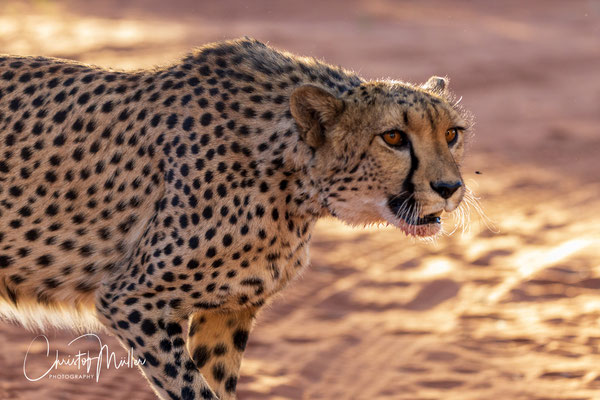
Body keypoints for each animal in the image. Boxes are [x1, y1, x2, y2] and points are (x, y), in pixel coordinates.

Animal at [0, 38, 468, 400]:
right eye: (393, 137)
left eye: (451, 134)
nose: (449, 188)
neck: (293, 175)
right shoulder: (131, 299)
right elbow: (192, 389)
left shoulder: (228, 312)